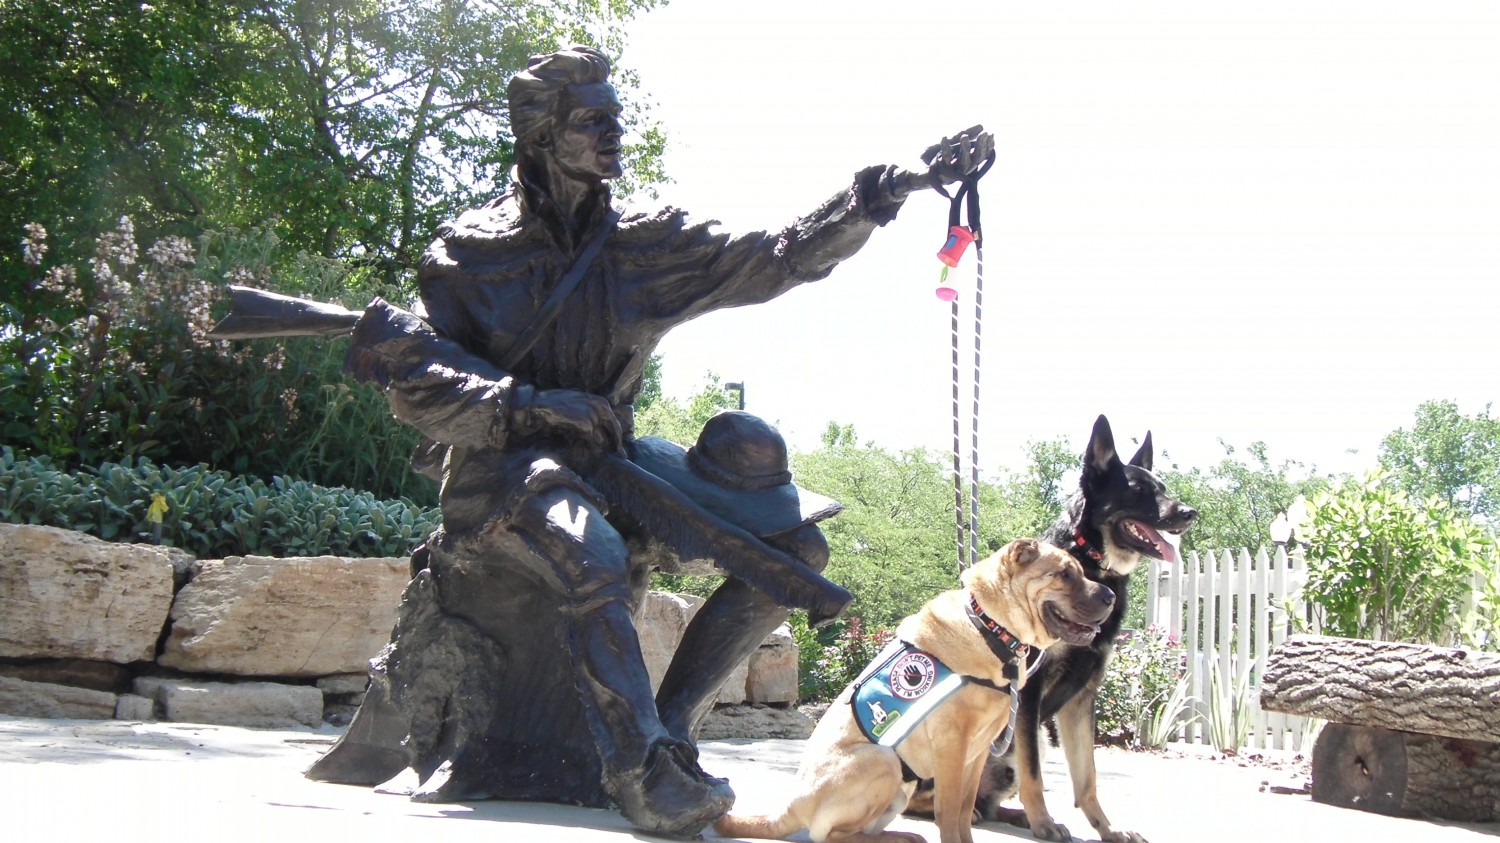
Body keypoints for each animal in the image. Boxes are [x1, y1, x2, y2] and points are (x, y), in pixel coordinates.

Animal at [711, 537, 1116, 840]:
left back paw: (901, 836)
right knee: (830, 835)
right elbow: (949, 812)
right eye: (1064, 574)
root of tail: (789, 808)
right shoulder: (952, 746)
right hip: (883, 760)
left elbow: (964, 809)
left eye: (1081, 572)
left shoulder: (977, 751)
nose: (1111, 596)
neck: (988, 626)